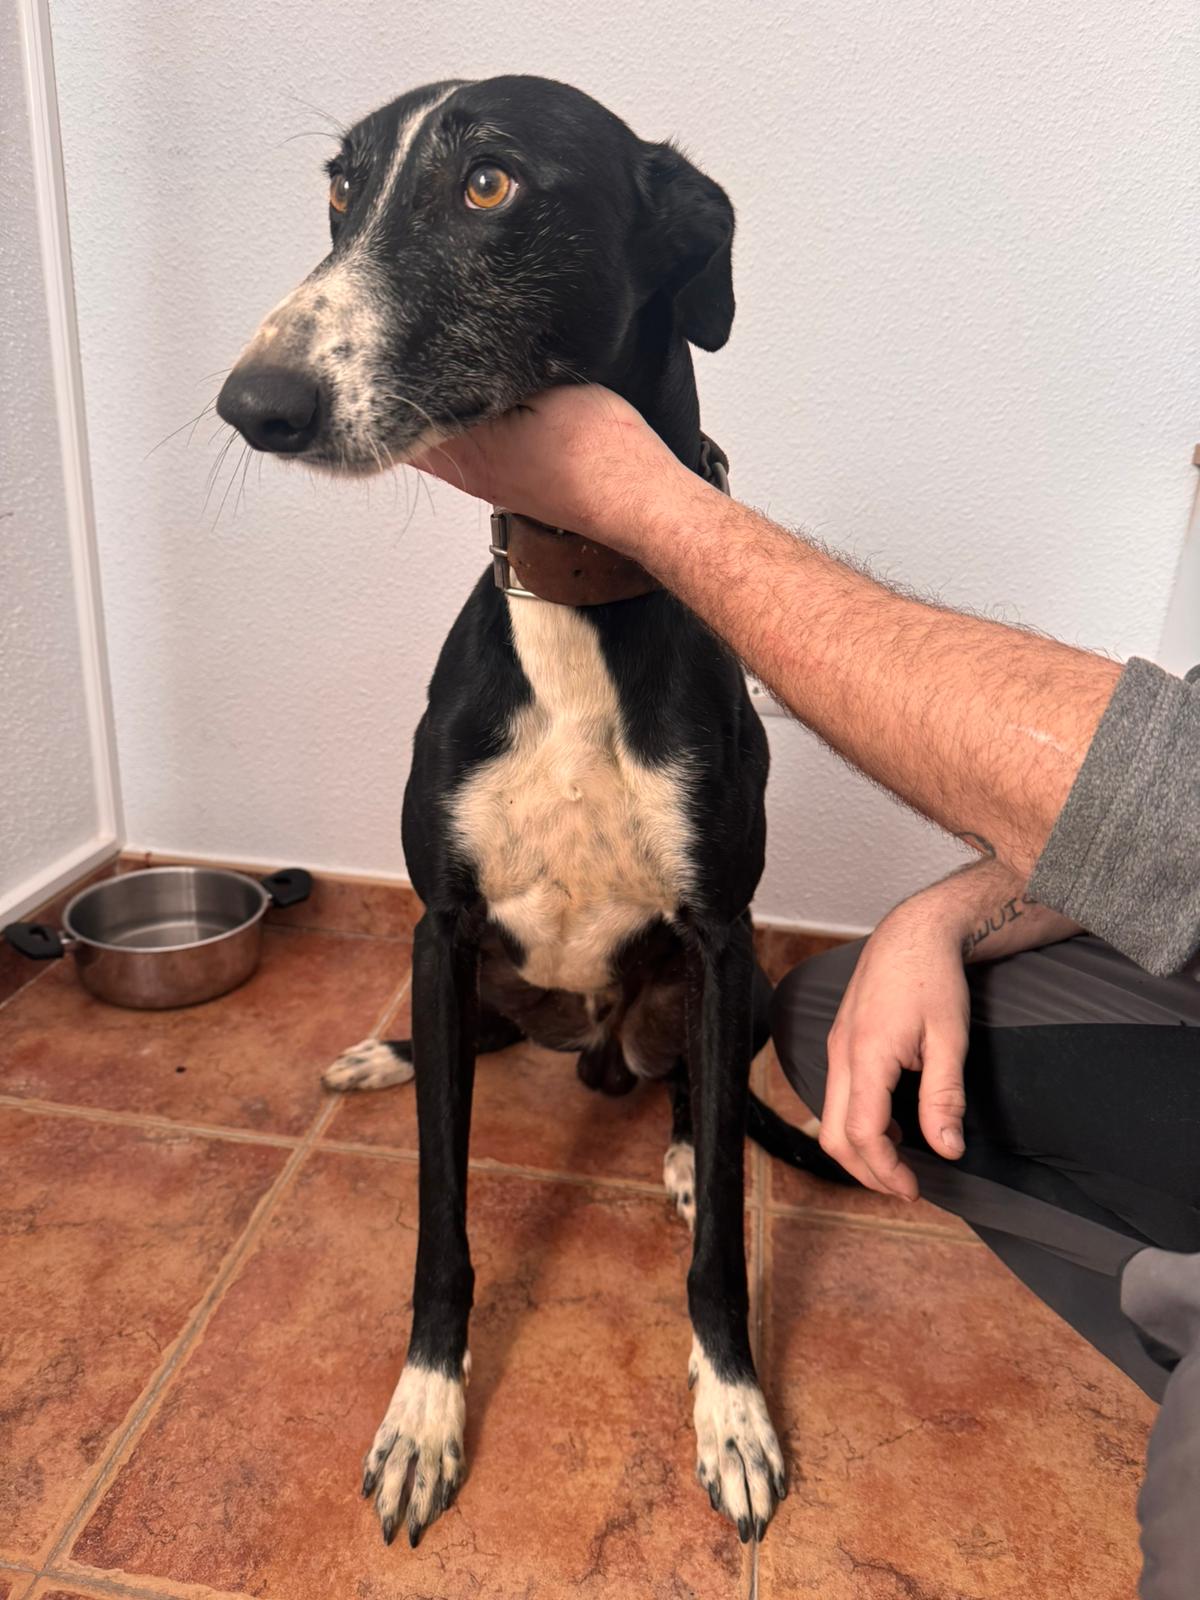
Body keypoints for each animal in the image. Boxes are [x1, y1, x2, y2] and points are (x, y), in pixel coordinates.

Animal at [217, 74, 846, 1551]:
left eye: (490, 183)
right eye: (342, 189)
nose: (252, 403)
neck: (570, 602)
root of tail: (589, 1039)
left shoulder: (725, 931)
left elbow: (723, 1250)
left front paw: (734, 1412)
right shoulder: (441, 925)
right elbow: (442, 1218)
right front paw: (423, 1415)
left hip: (712, 986)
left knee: (687, 1090)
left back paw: (677, 1148)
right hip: (477, 975)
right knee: (485, 1040)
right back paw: (386, 1055)